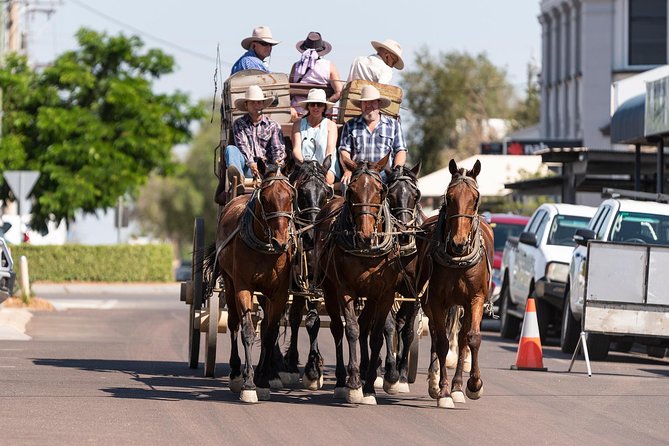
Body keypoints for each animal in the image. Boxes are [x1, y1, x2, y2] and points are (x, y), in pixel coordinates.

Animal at [202, 161, 294, 404]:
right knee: (234, 322)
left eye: (291, 196)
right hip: (229, 281)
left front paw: (262, 380)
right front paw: (249, 384)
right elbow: (248, 331)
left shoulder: (279, 293)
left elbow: (270, 333)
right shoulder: (243, 286)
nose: (281, 242)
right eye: (266, 198)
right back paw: (236, 372)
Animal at [418, 159, 496, 410]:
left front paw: (473, 385)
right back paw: (436, 382)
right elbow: (442, 342)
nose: (459, 243)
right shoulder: (436, 300)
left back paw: (458, 387)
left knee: (461, 338)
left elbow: (472, 338)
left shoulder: (475, 298)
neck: (458, 259)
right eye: (449, 197)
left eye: (476, 198)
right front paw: (442, 391)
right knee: (436, 334)